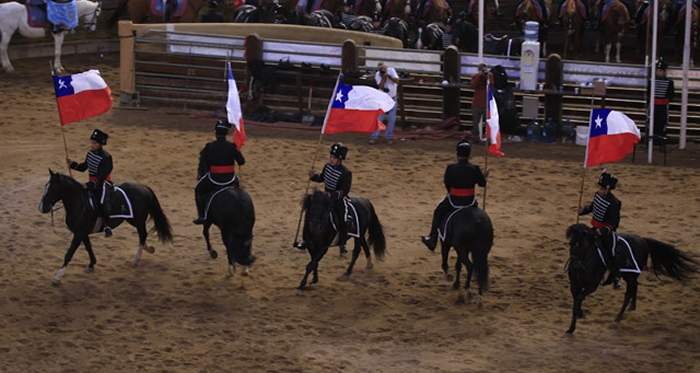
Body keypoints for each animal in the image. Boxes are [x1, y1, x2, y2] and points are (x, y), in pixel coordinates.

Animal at [39, 170, 174, 284]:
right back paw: (148, 249)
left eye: (53, 189)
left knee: (143, 234)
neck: (78, 202)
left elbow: (69, 253)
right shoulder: (82, 233)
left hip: (138, 220)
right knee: (143, 235)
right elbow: (88, 247)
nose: (42, 207)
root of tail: (144, 187)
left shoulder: (79, 233)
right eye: (46, 186)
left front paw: (57, 277)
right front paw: (91, 264)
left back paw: (136, 259)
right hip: (132, 220)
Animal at [568, 222, 696, 332]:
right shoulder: (575, 285)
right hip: (629, 276)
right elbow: (576, 301)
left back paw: (617, 318)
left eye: (579, 244)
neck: (585, 263)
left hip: (631, 276)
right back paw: (632, 308)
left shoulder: (591, 286)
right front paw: (571, 328)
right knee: (635, 287)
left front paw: (580, 314)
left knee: (628, 294)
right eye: (570, 243)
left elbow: (578, 299)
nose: (573, 265)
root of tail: (643, 240)